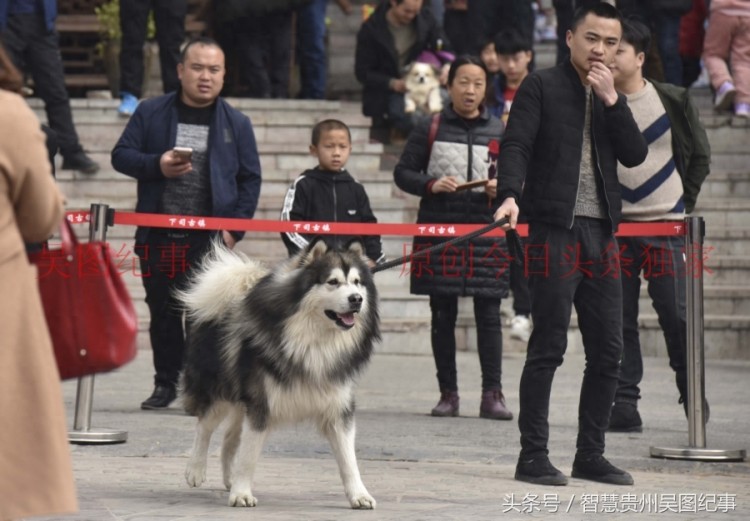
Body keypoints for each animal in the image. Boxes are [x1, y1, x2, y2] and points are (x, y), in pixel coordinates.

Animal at [178, 240, 382, 508]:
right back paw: (195, 469)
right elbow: (248, 456)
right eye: (333, 282)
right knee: (204, 426)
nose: (356, 299)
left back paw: (229, 478)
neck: (314, 343)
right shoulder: (261, 404)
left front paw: (359, 495)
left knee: (229, 438)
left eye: (357, 282)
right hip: (220, 391)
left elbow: (349, 460)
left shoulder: (338, 406)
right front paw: (242, 493)